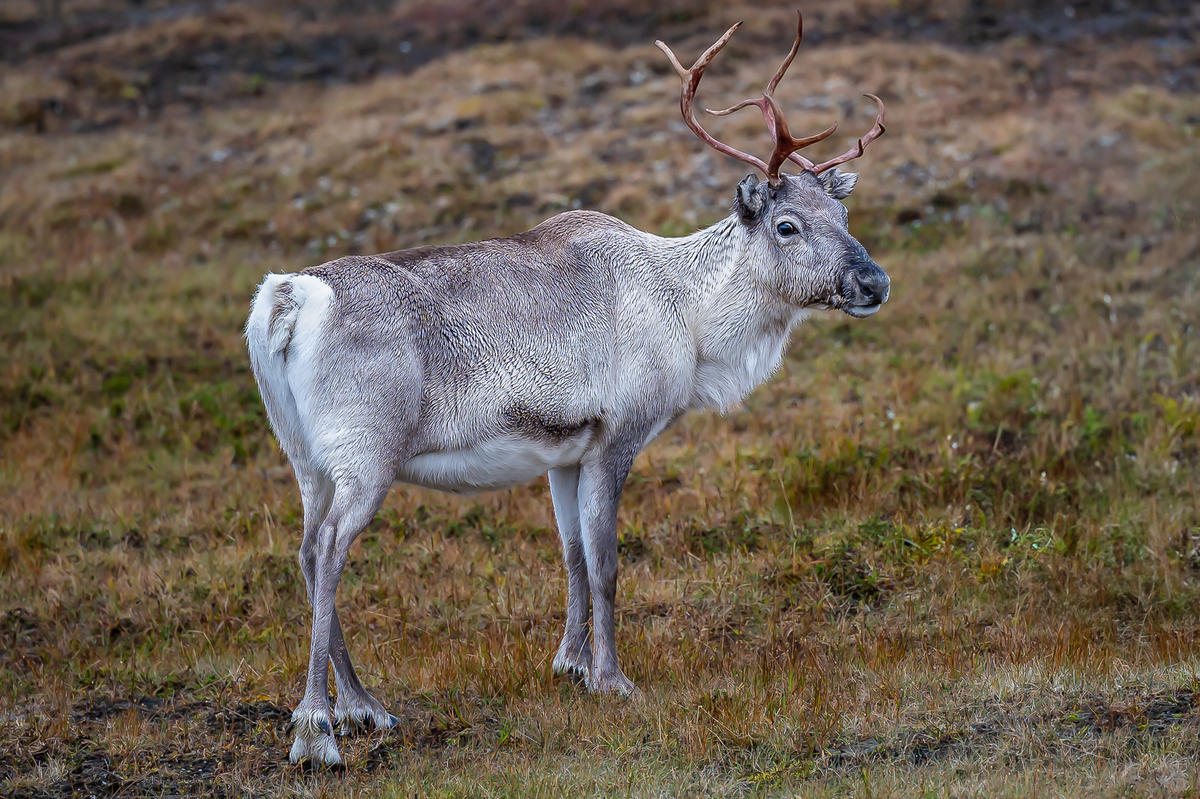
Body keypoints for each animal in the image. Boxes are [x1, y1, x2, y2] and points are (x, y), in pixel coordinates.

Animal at [245, 11, 889, 766]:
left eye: (844, 220)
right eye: (788, 226)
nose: (874, 282)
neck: (692, 319)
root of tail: (286, 299)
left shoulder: (564, 451)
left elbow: (573, 554)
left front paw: (570, 665)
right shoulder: (619, 434)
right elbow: (607, 561)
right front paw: (614, 679)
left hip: (305, 456)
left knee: (306, 551)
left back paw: (364, 706)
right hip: (364, 454)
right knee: (328, 550)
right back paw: (318, 726)